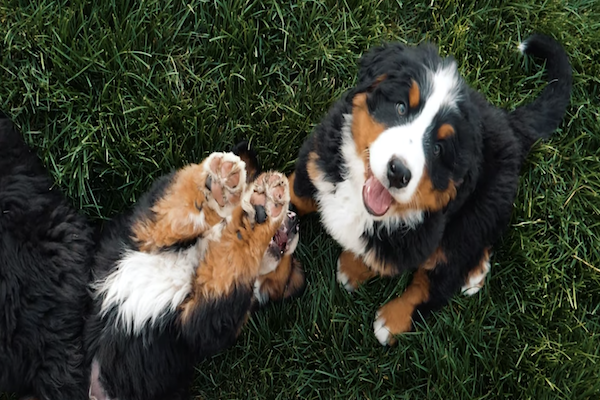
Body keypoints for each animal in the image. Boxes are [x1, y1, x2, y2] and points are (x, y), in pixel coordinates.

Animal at [290, 34, 572, 346]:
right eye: (401, 108)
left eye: (438, 149)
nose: (398, 172)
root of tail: (509, 124)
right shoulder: (316, 160)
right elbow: (296, 194)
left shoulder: (421, 234)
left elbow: (388, 262)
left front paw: (354, 271)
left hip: (479, 208)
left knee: (448, 268)